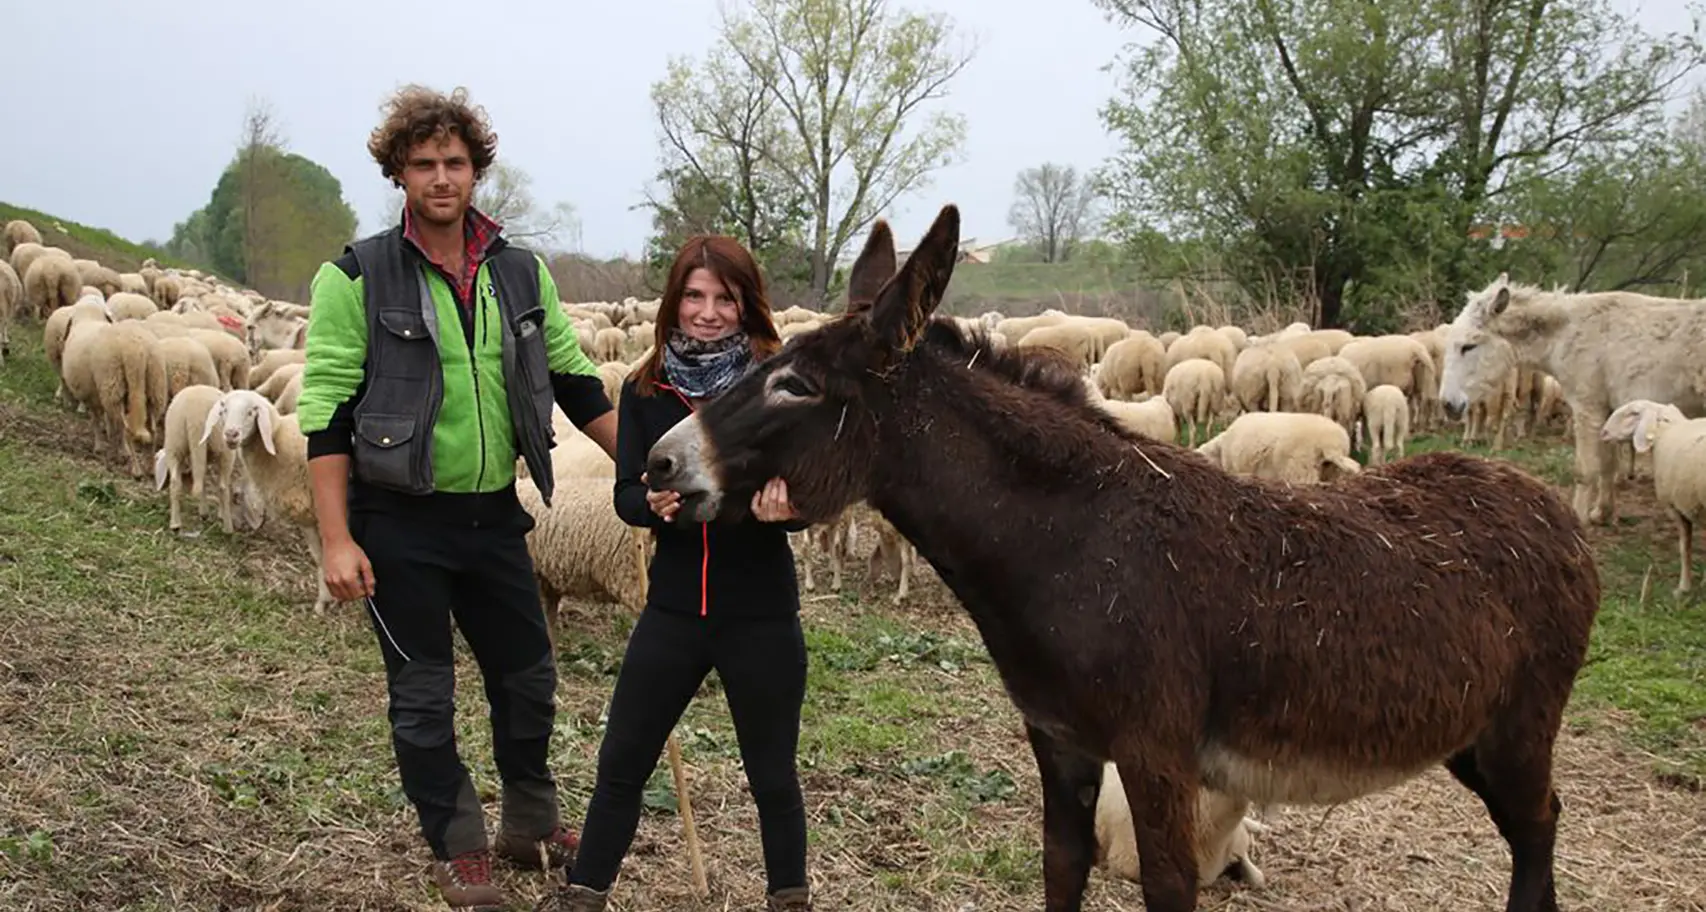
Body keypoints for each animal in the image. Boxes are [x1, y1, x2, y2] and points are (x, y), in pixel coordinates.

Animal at [153, 384, 262, 535]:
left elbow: (202, 479)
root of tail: (193, 413)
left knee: (175, 483)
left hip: (174, 442)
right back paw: (228, 528)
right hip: (223, 448)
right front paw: (222, 513)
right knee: (222, 487)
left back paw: (175, 524)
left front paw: (204, 512)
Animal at [202, 390, 332, 612]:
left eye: (251, 411)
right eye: (224, 408)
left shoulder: (305, 510)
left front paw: (324, 600)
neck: (276, 442)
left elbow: (320, 556)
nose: (231, 434)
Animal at [1600, 399, 1706, 595]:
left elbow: (1684, 547)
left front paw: (1683, 587)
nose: (1603, 432)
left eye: (1633, 413)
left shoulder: (1676, 507)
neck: (1665, 431)